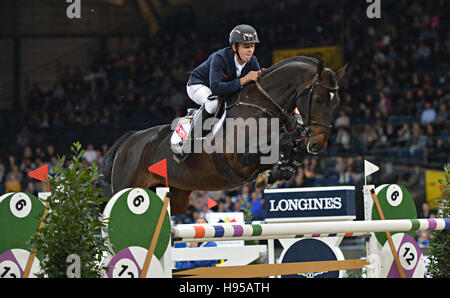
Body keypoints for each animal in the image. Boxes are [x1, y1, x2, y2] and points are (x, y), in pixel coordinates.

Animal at [98, 56, 346, 214]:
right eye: (318, 99)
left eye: (337, 102)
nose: (319, 144)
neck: (263, 105)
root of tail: (129, 139)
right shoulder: (239, 157)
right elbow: (280, 143)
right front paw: (275, 170)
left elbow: (294, 146)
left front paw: (282, 169)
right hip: (128, 187)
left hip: (175, 196)